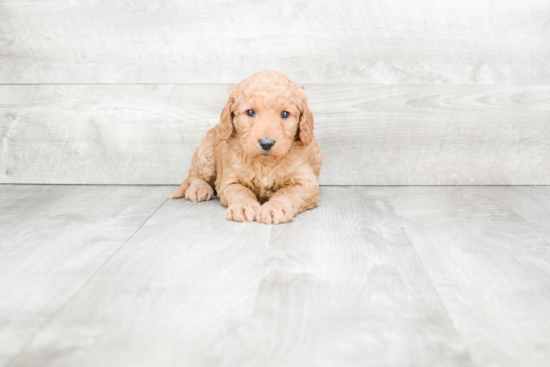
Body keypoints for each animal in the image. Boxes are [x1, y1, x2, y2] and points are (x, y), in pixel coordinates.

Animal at [172, 70, 324, 223]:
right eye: (250, 112)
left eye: (285, 114)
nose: (266, 143)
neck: (265, 164)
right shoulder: (229, 181)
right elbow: (241, 191)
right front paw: (243, 206)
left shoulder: (306, 182)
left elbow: (287, 192)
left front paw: (275, 208)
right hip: (206, 155)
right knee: (194, 176)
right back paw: (199, 189)